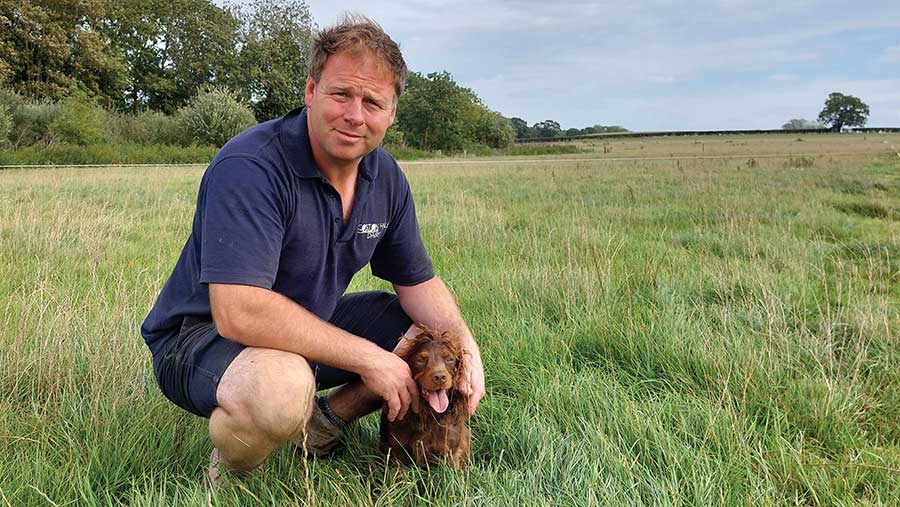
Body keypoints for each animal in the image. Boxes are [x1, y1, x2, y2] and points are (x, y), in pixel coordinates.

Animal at [380, 328, 472, 470]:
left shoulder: (451, 450)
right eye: (420, 360)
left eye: (450, 359)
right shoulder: (397, 450)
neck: (430, 414)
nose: (439, 377)